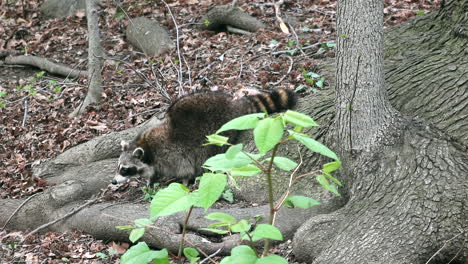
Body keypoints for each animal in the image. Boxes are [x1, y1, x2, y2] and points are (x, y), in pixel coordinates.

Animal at [113, 88, 296, 186]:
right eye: (119, 166)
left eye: (125, 169)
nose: (113, 182)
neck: (147, 148)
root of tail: (233, 105)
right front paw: (150, 180)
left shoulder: (171, 154)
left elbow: (185, 169)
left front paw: (185, 181)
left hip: (218, 131)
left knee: (210, 152)